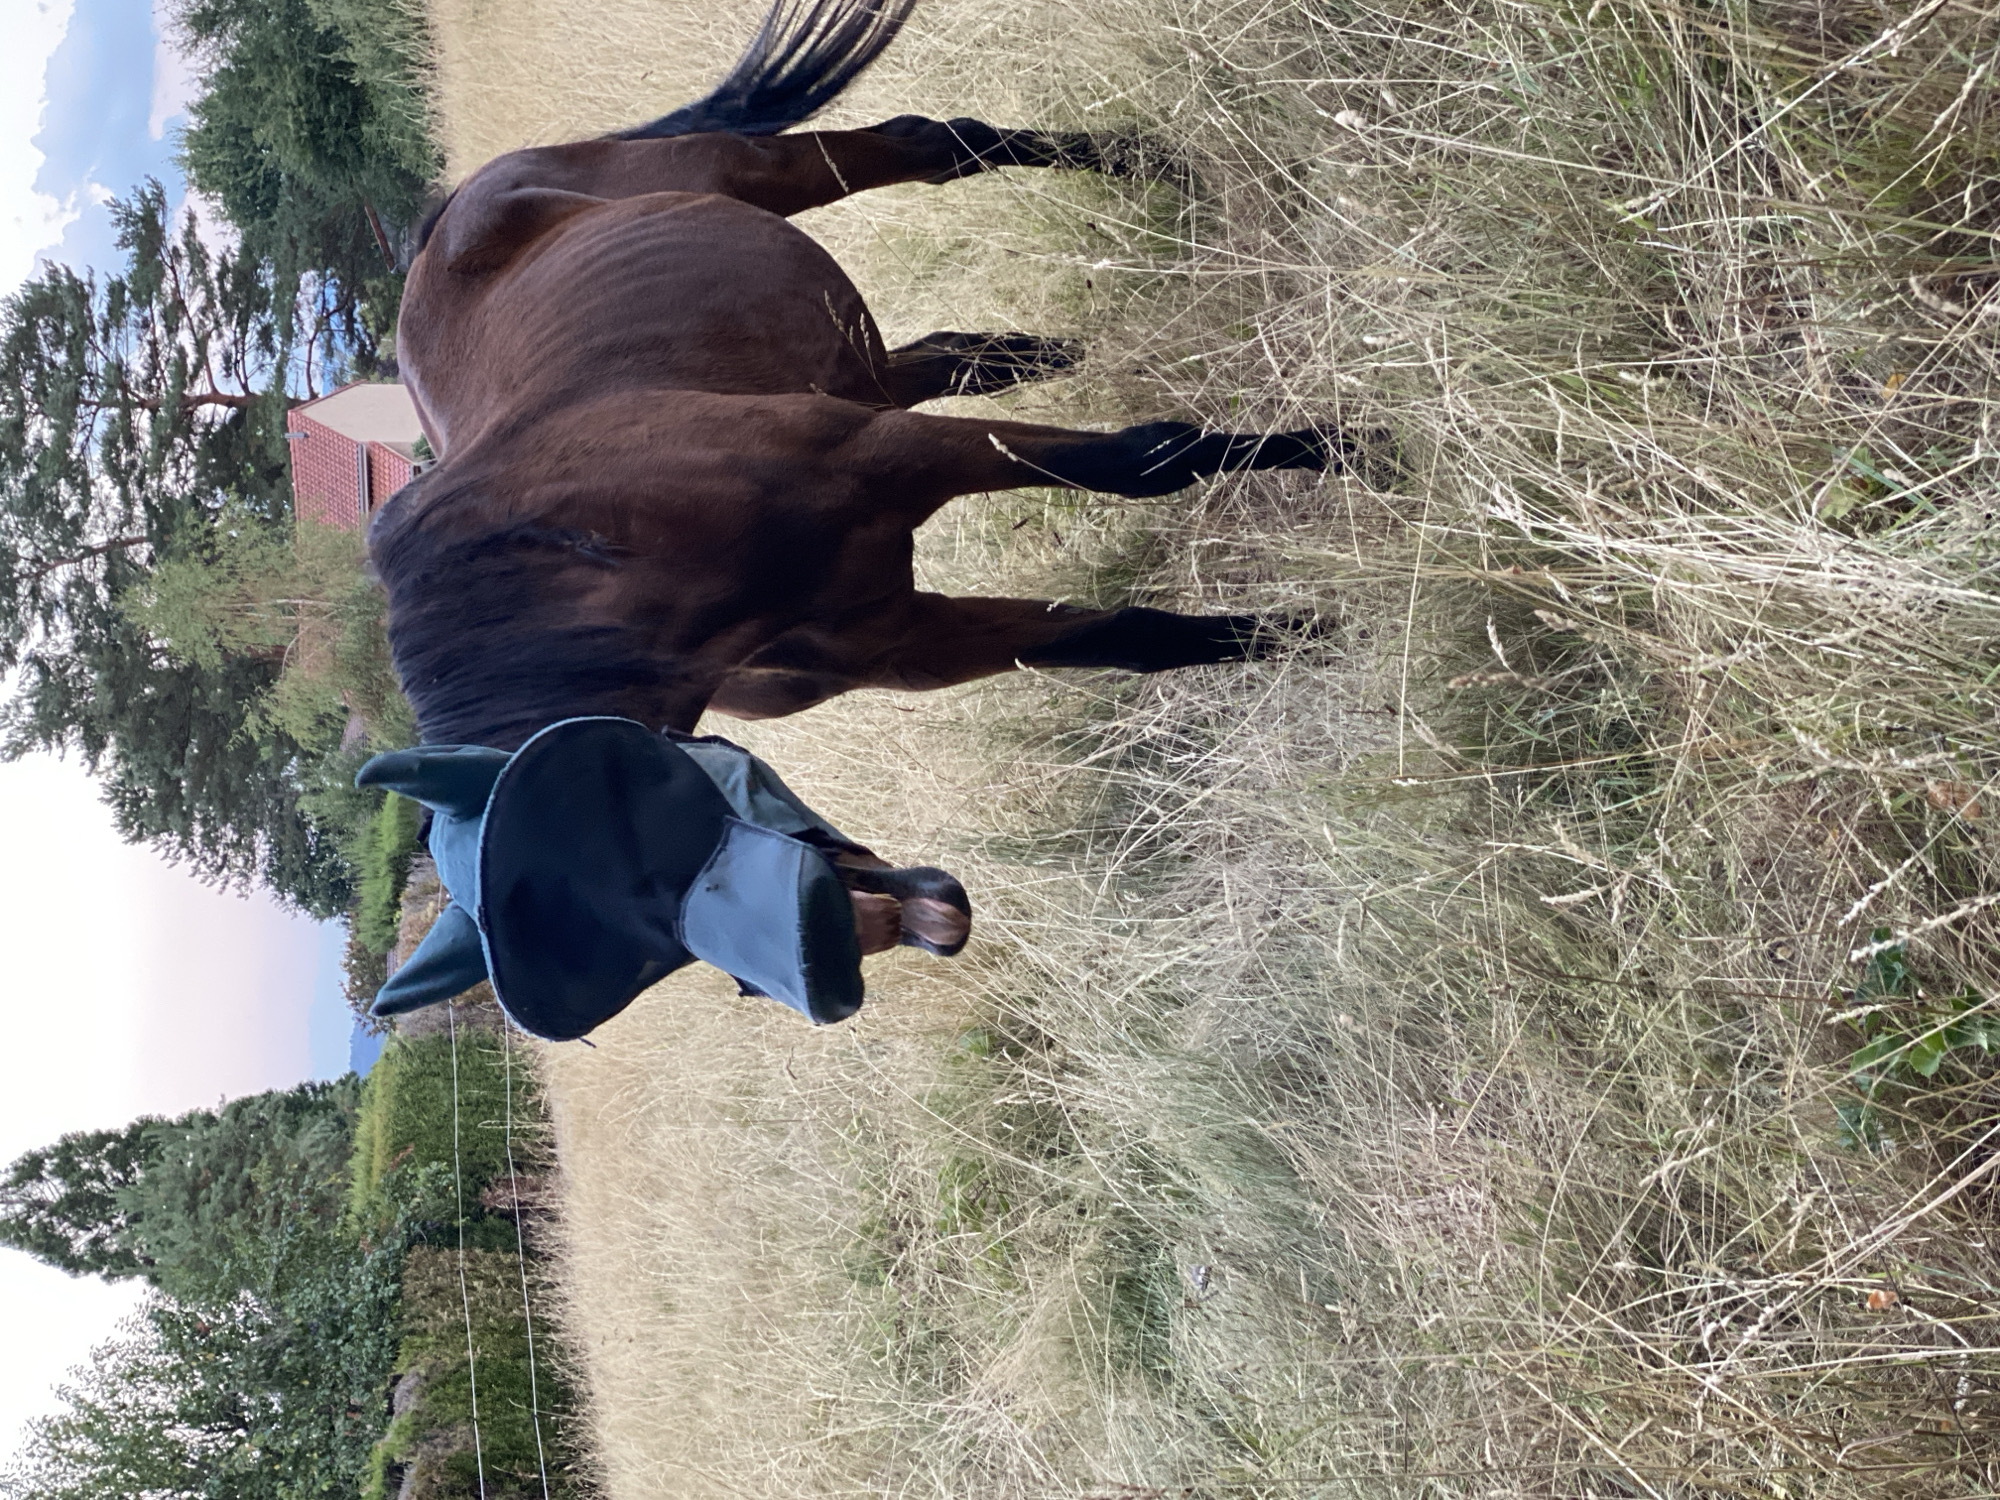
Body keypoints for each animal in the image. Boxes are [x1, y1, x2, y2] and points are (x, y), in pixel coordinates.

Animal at [374, 0, 1335, 757]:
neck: (611, 556)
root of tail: (455, 210)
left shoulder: (893, 451)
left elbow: (1142, 464)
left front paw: (1341, 451)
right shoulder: (911, 640)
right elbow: (1136, 638)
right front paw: (1312, 634)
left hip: (760, 177)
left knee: (934, 145)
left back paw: (1159, 166)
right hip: (848, 364)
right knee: (944, 354)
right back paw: (1050, 343)